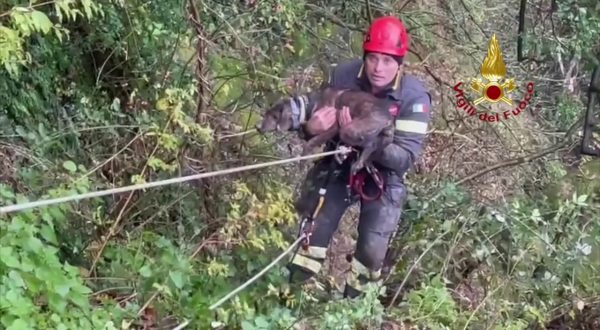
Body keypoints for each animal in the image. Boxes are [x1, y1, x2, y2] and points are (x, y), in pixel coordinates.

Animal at [256, 86, 394, 174]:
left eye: (274, 116)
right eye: (266, 114)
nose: (257, 127)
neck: (307, 106)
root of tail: (388, 118)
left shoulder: (332, 128)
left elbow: (309, 144)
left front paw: (302, 163)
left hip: (349, 130)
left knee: (371, 144)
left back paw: (358, 163)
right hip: (383, 139)